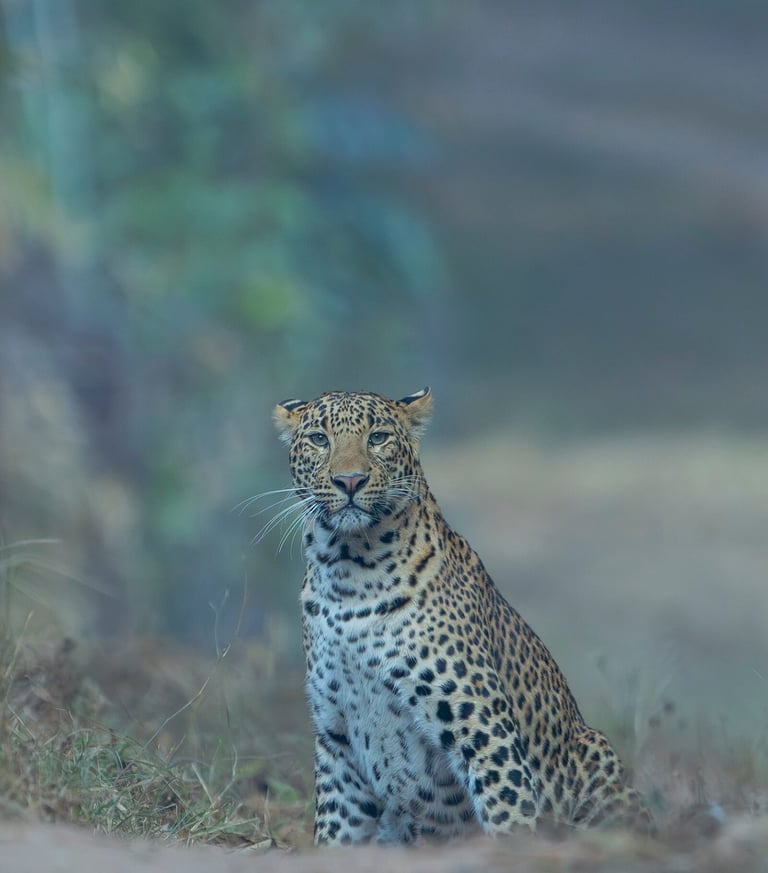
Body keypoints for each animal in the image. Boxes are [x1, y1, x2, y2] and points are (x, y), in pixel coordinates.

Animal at [271, 387, 653, 845]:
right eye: (319, 439)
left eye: (378, 437)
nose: (349, 481)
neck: (348, 572)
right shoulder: (337, 738)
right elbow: (336, 829)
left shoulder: (483, 727)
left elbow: (509, 811)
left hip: (594, 751)